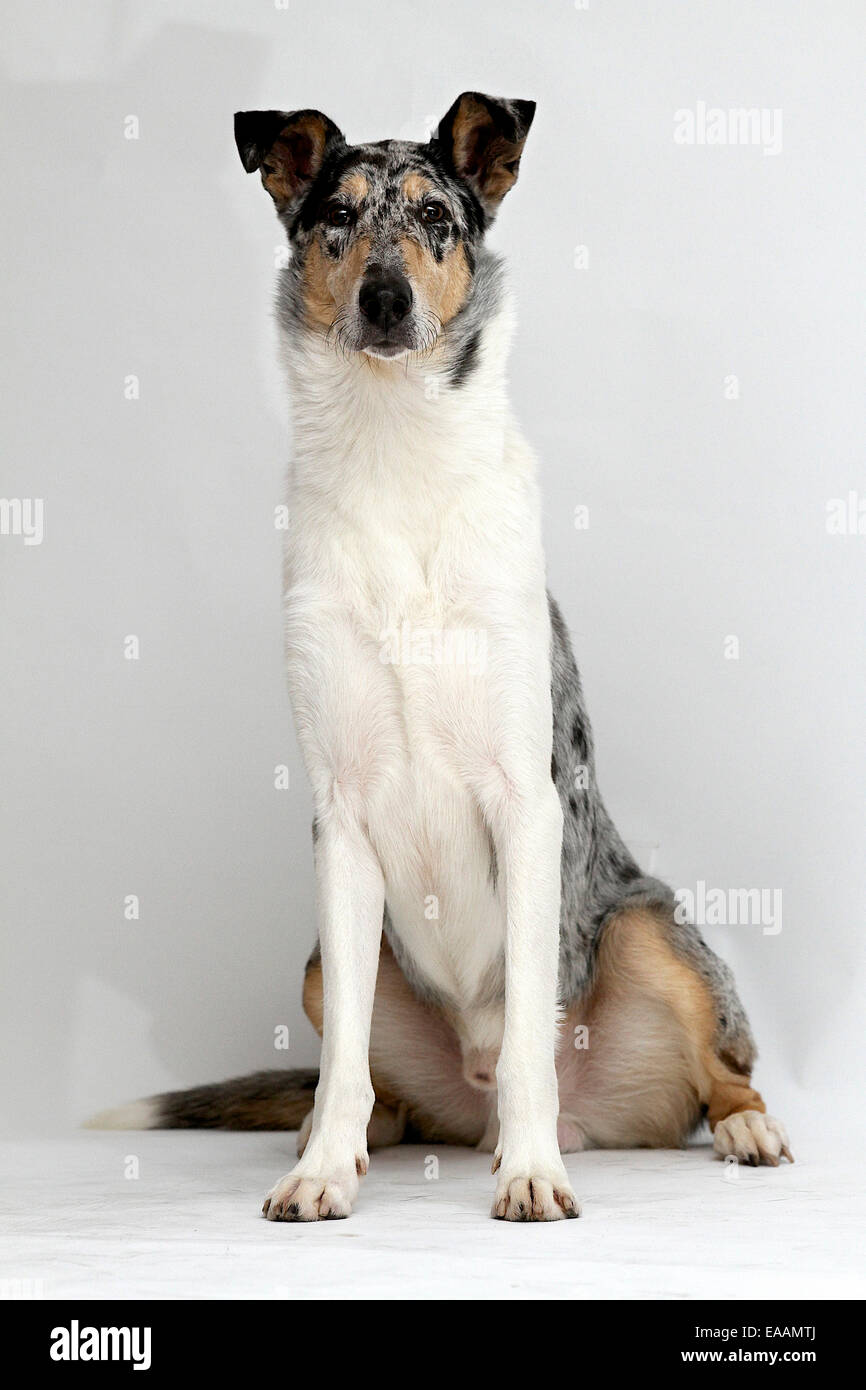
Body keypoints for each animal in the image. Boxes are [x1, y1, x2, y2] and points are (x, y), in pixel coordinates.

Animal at [91, 92, 795, 1217]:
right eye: (337, 214)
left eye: (435, 218)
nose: (384, 301)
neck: (395, 454)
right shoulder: (338, 814)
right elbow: (341, 1064)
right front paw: (319, 1176)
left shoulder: (524, 799)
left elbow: (528, 1038)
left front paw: (533, 1174)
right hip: (326, 966)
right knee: (371, 1088)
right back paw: (343, 1136)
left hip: (644, 929)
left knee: (713, 1069)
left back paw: (734, 1128)